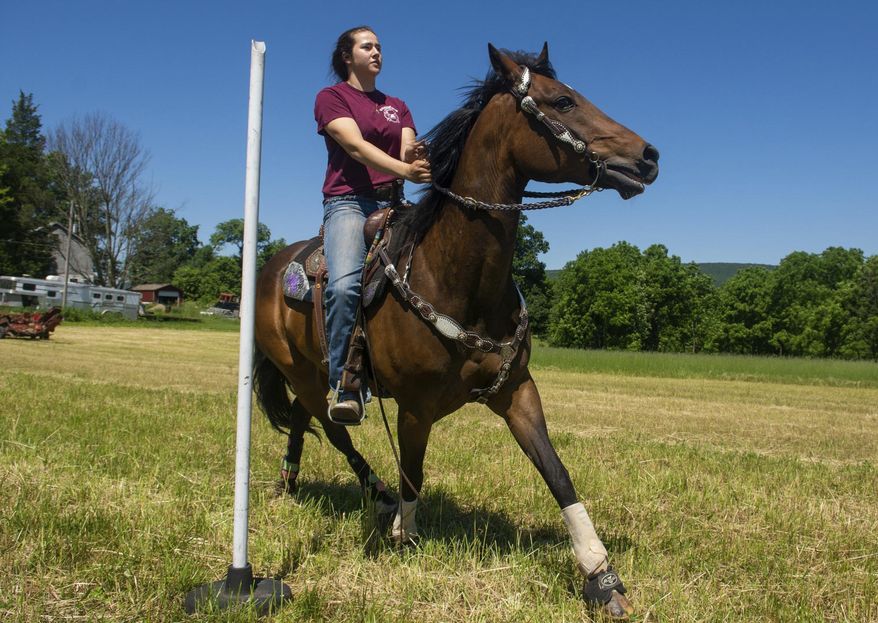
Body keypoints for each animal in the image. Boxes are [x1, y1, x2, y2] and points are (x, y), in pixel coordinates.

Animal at [253, 43, 659, 619]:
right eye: (563, 100)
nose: (648, 155)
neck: (456, 276)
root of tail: (270, 268)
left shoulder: (518, 391)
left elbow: (557, 472)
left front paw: (600, 575)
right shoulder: (414, 407)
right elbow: (413, 473)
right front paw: (404, 533)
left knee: (299, 423)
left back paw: (292, 484)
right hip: (306, 373)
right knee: (331, 427)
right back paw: (375, 495)